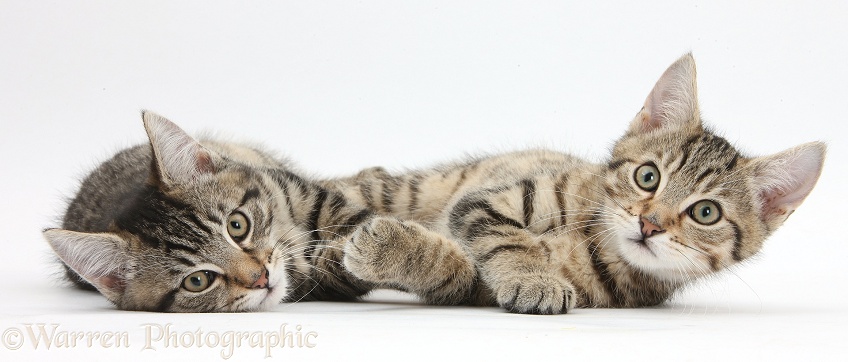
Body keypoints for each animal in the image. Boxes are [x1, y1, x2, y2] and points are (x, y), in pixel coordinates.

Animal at [334, 53, 824, 314]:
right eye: (647, 176)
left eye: (706, 212)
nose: (649, 224)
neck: (593, 243)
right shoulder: (487, 199)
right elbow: (507, 236)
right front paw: (533, 275)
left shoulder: (481, 286)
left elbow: (460, 270)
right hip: (408, 188)